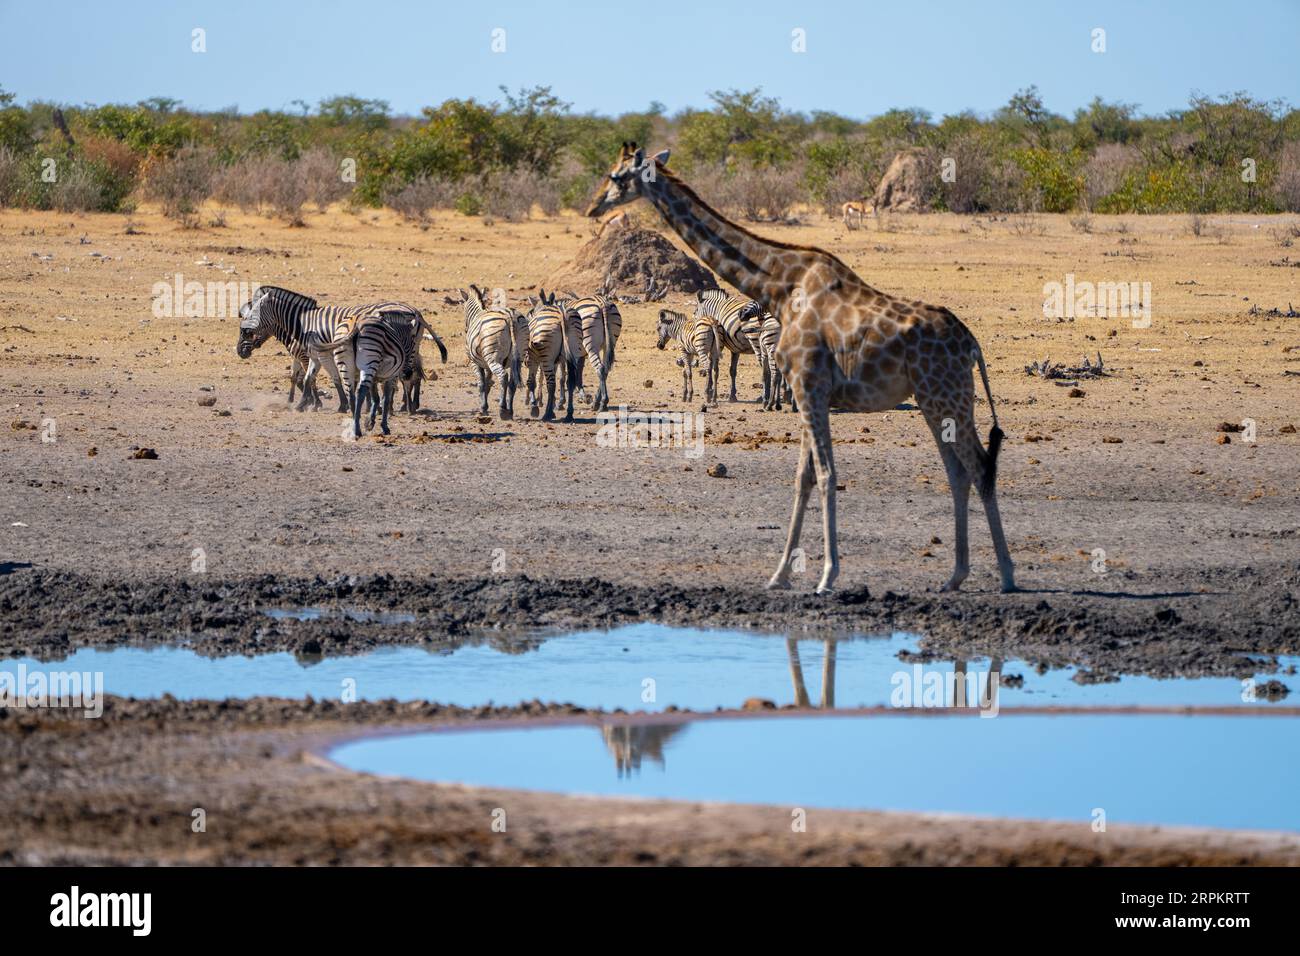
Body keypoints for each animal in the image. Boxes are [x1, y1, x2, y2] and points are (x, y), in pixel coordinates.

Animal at [585, 143, 1016, 595]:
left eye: (617, 176)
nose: (593, 206)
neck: (779, 285)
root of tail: (971, 344)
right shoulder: (810, 391)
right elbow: (804, 477)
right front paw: (779, 575)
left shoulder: (808, 384)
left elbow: (825, 474)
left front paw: (826, 575)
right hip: (936, 400)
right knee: (959, 472)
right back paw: (956, 575)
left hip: (946, 395)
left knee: (979, 465)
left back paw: (1006, 574)